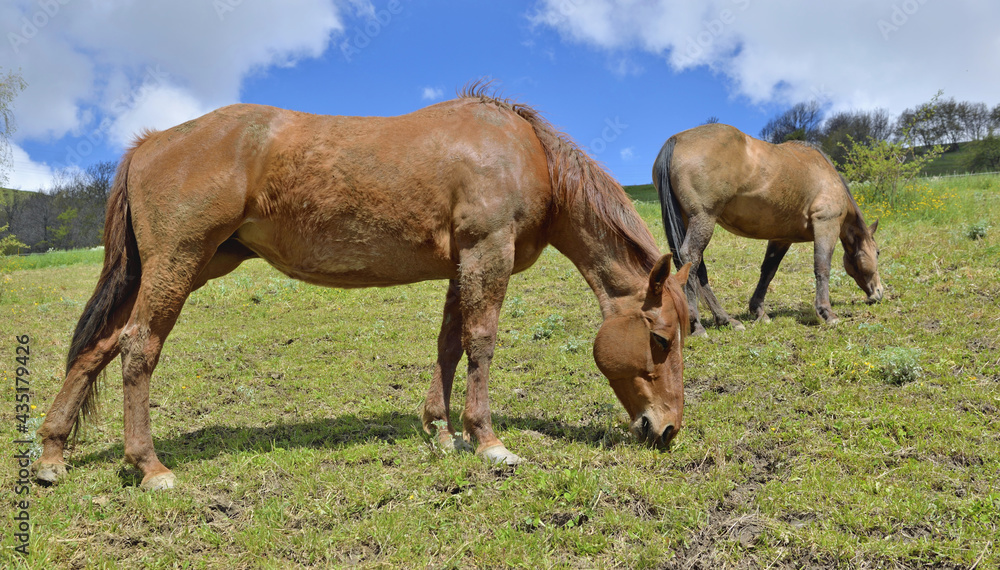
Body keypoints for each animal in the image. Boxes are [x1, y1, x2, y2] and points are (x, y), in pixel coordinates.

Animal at [31, 85, 692, 488]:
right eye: (660, 339)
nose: (666, 430)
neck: (521, 152)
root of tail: (150, 143)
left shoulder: (462, 265)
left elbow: (448, 346)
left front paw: (440, 431)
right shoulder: (487, 254)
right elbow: (480, 343)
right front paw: (487, 441)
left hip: (183, 269)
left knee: (99, 347)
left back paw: (52, 456)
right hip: (177, 264)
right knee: (138, 347)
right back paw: (149, 467)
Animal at [656, 123, 884, 336]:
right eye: (878, 252)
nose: (879, 292)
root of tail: (676, 140)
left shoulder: (781, 238)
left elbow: (768, 271)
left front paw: (758, 311)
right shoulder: (826, 224)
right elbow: (822, 267)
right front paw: (827, 313)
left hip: (689, 220)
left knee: (697, 267)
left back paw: (726, 320)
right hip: (703, 218)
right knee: (690, 258)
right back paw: (697, 324)